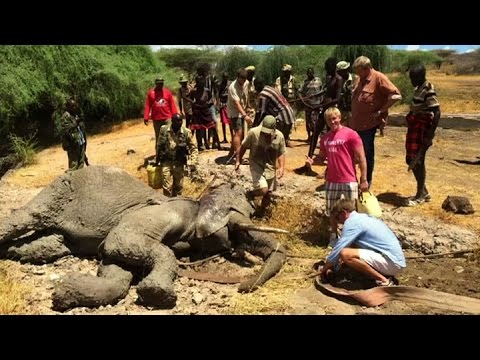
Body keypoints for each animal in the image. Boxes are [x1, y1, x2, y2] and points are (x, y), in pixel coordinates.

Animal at [0, 166, 284, 310]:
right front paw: (159, 296)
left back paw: (16, 253)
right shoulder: (165, 213)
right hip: (57, 190)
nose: (242, 286)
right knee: (26, 216)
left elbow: (116, 271)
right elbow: (119, 241)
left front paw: (65, 293)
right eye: (237, 225)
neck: (196, 204)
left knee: (51, 243)